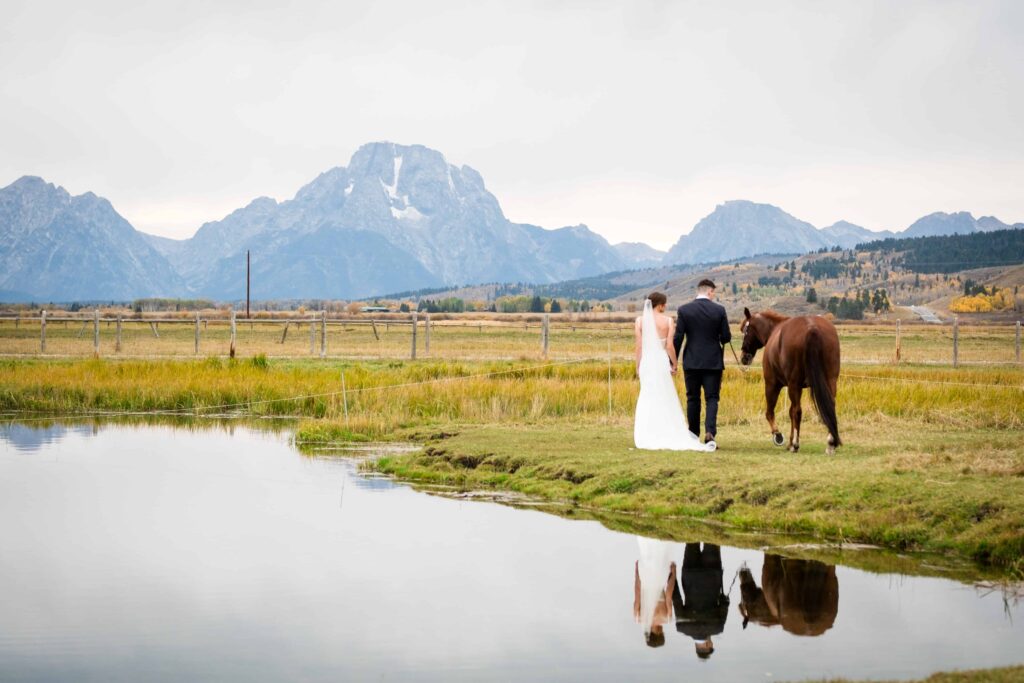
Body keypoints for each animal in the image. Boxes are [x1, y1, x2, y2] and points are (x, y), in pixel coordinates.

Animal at [745, 309, 839, 454]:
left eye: (744, 330)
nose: (744, 357)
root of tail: (812, 327)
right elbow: (790, 412)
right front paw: (789, 442)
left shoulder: (773, 384)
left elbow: (770, 413)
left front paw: (779, 436)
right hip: (830, 380)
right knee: (830, 406)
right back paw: (830, 443)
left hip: (793, 385)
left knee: (797, 411)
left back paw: (795, 444)